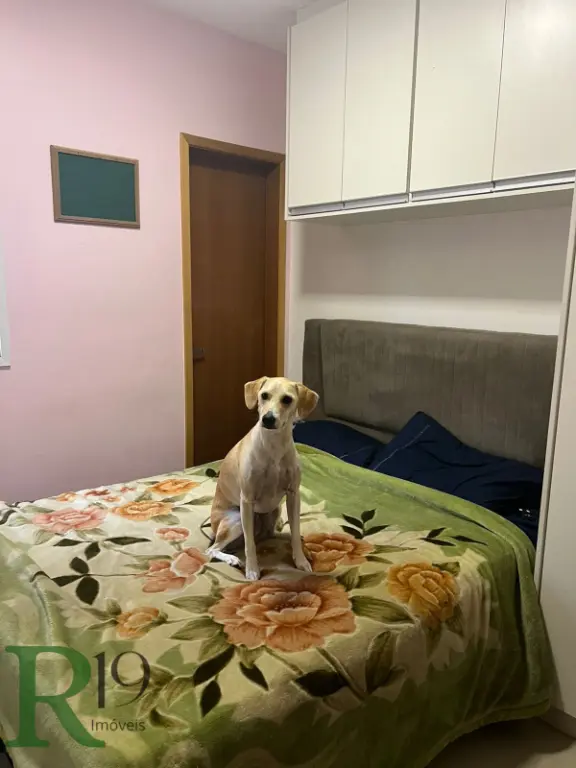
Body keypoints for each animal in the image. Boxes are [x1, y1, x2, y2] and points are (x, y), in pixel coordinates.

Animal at [207, 376, 319, 581]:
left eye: (287, 399)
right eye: (264, 395)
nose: (267, 419)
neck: (273, 447)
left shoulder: (293, 495)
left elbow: (295, 531)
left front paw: (300, 560)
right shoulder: (247, 500)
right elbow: (249, 544)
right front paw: (252, 570)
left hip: (274, 511)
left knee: (273, 534)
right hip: (236, 520)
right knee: (213, 549)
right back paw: (232, 559)